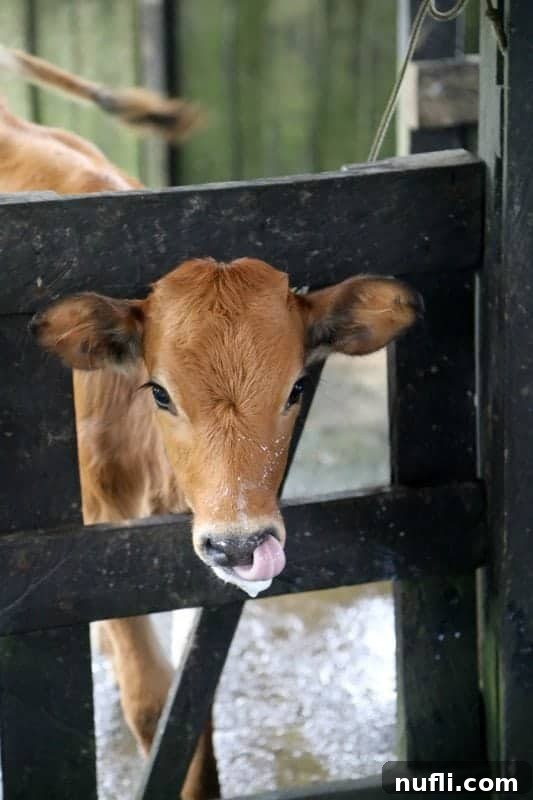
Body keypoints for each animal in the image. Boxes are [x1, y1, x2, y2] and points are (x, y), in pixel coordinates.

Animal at [0, 45, 422, 799]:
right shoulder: (94, 546)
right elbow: (150, 701)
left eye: (297, 387)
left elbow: (187, 709)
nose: (240, 544)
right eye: (160, 392)